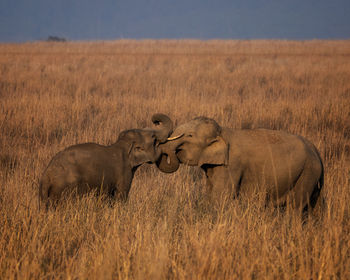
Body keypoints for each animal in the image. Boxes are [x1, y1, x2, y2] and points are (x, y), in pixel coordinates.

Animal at [39, 113, 174, 208]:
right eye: (153, 137)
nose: (155, 121)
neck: (123, 145)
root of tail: (46, 176)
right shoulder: (124, 172)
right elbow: (121, 196)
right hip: (67, 189)